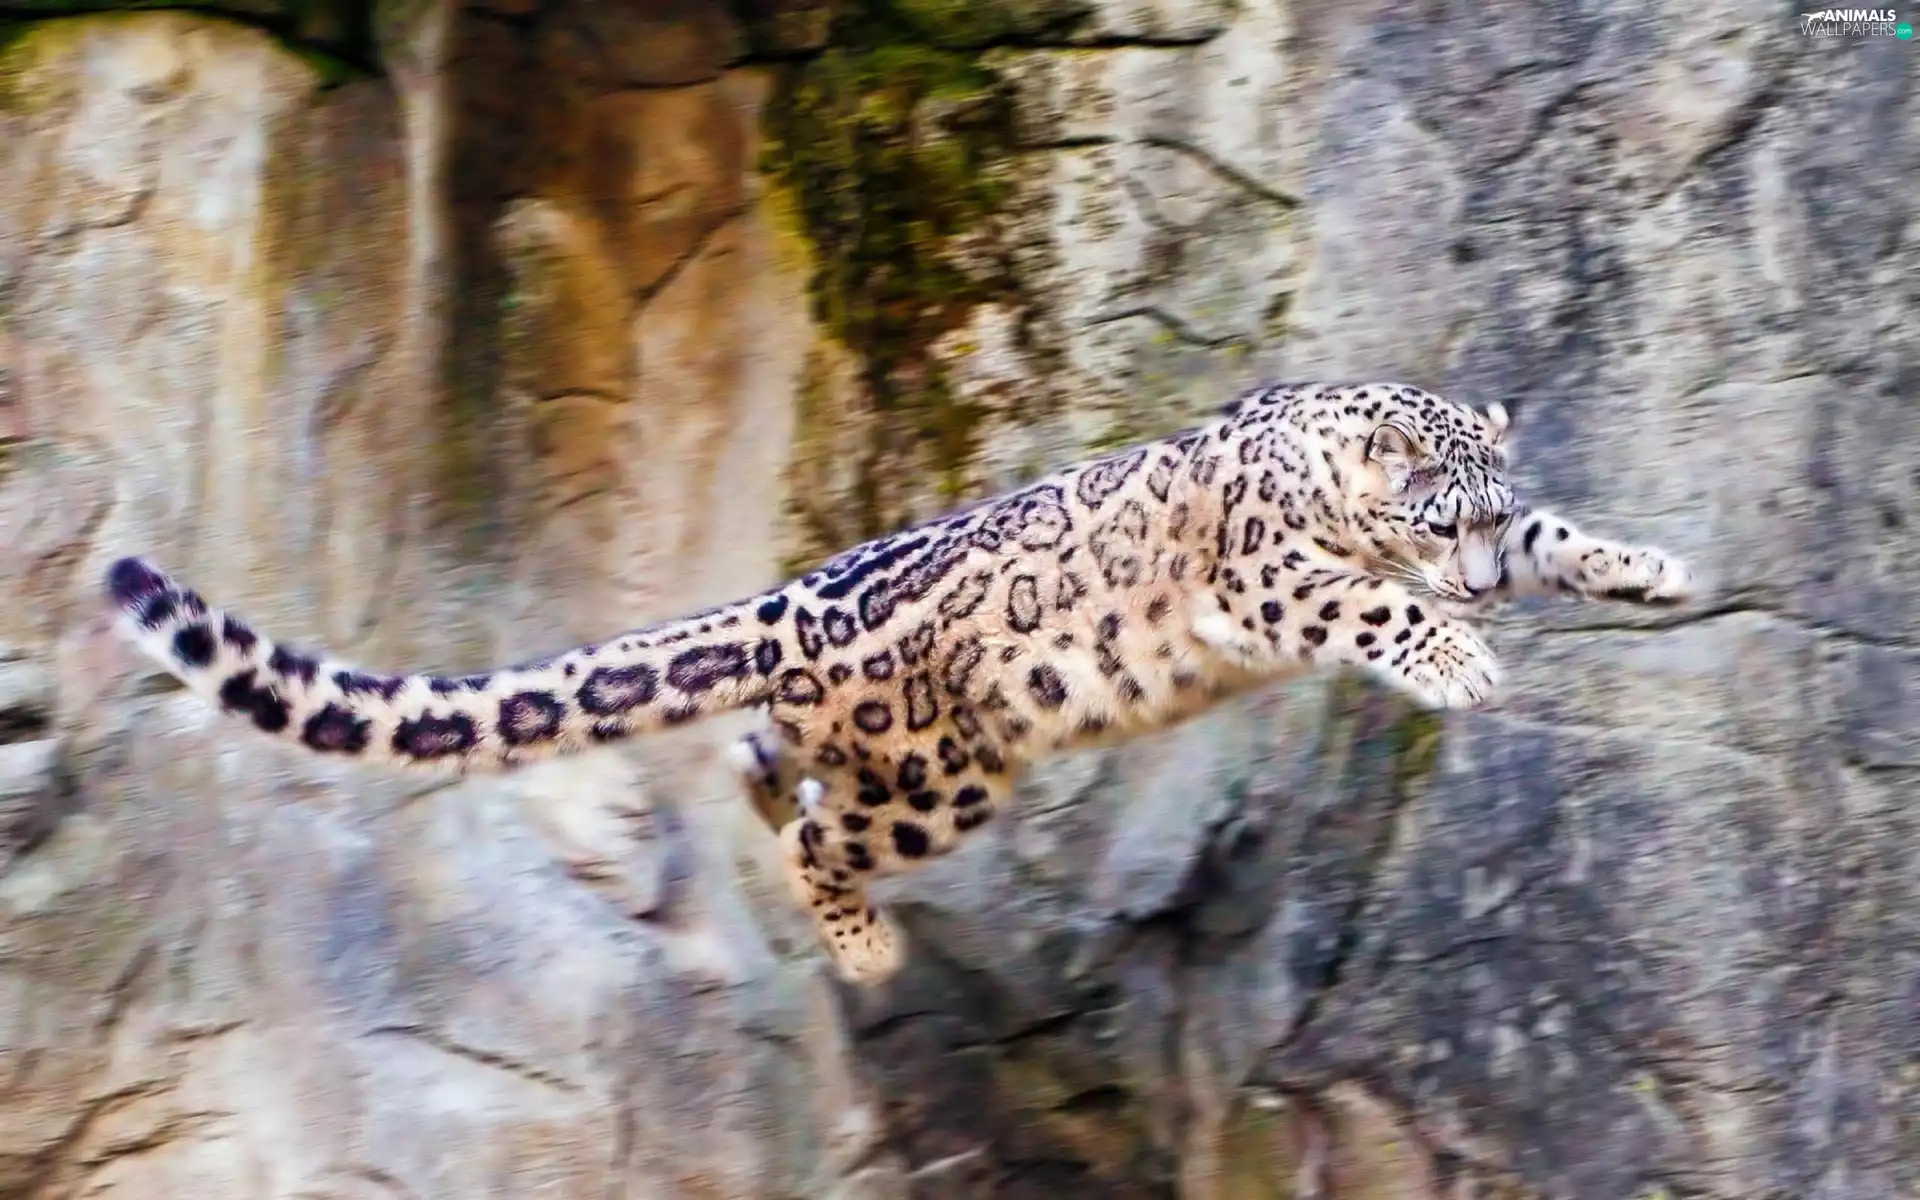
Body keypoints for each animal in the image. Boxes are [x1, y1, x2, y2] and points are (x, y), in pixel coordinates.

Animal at [101, 381, 1698, 986]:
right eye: (1438, 520)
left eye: (1495, 511)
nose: (1474, 586)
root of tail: (787, 602)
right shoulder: (1269, 576)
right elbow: (1358, 598)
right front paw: (1461, 657)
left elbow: (1571, 545)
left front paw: (1652, 568)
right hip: (946, 775)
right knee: (820, 833)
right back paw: (865, 949)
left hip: (880, 753)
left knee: (764, 766)